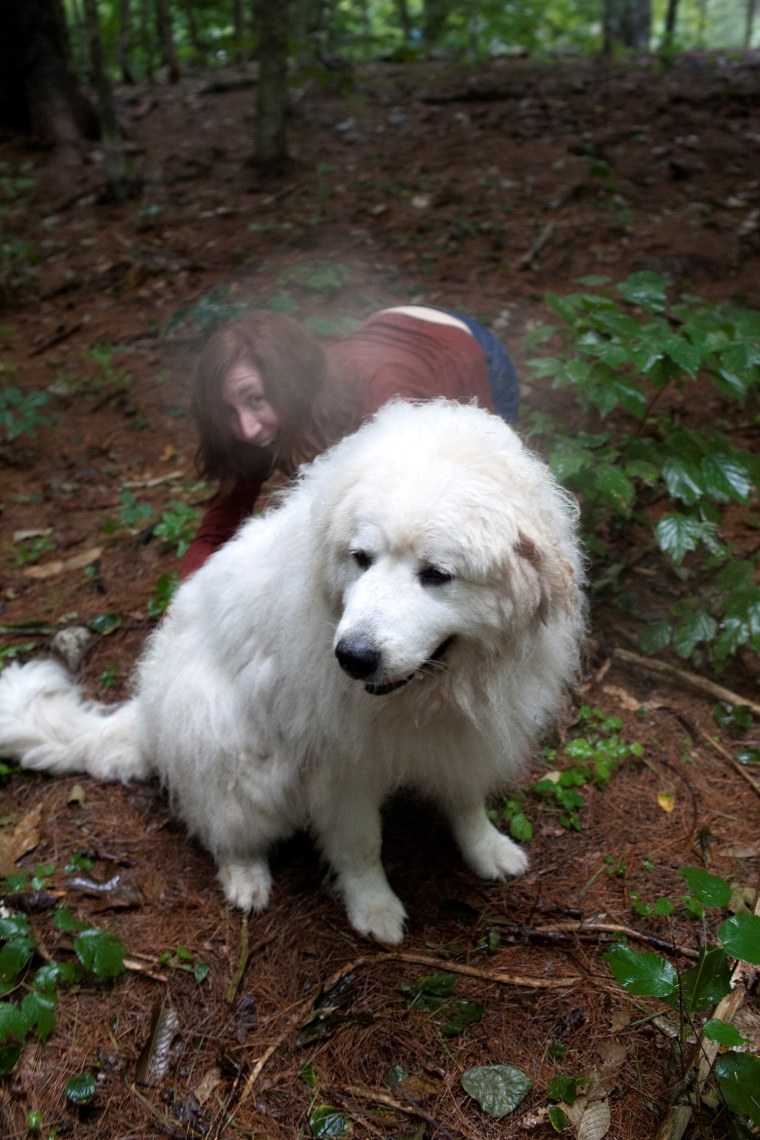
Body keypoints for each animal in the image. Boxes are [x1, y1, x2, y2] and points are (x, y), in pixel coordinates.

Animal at [0, 401, 587, 943]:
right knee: (225, 830)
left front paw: (487, 850)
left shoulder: (466, 738)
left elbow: (466, 804)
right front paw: (373, 909)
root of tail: (145, 716)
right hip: (241, 760)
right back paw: (246, 880)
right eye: (361, 558)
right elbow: (361, 846)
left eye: (437, 575)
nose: (352, 656)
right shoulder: (340, 769)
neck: (431, 691)